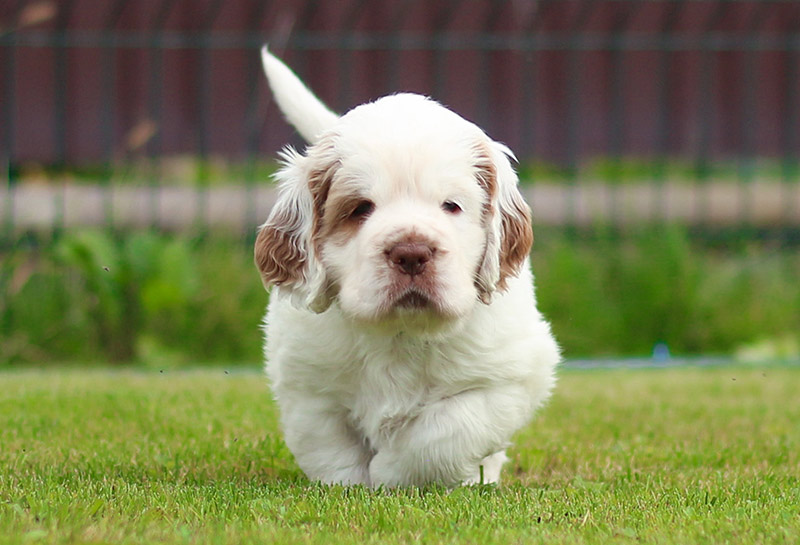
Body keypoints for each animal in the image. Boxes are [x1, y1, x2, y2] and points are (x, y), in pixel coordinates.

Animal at [258, 46, 564, 486]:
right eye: (360, 209)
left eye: (451, 205)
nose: (412, 252)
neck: (399, 333)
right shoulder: (307, 385)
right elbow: (330, 449)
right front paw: (353, 484)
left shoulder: (510, 378)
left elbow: (444, 432)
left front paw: (391, 471)